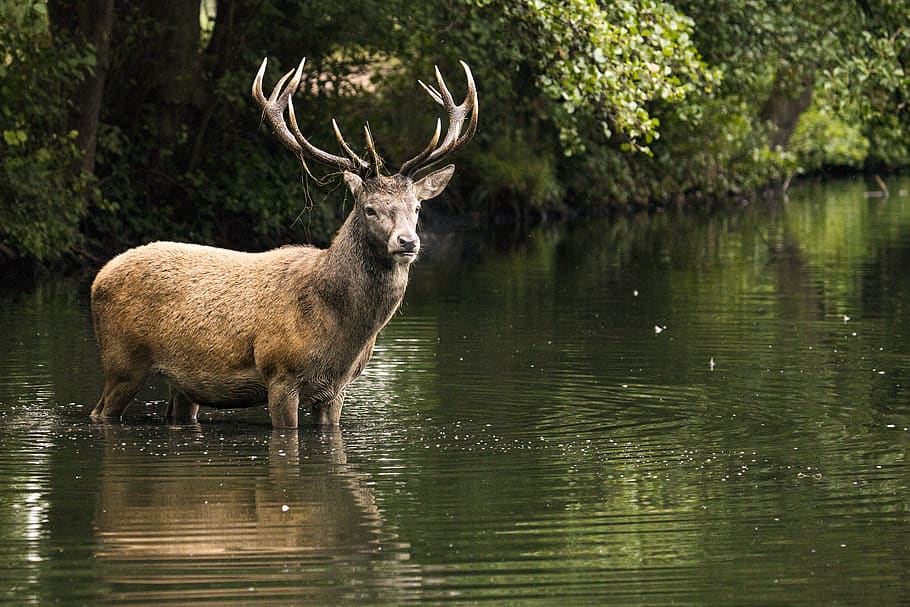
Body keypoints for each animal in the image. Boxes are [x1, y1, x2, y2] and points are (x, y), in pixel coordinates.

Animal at [89, 57, 478, 428]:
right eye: (369, 208)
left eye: (417, 207)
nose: (407, 242)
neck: (340, 335)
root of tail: (98, 277)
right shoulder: (280, 374)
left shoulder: (336, 390)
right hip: (122, 361)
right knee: (100, 411)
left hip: (183, 384)